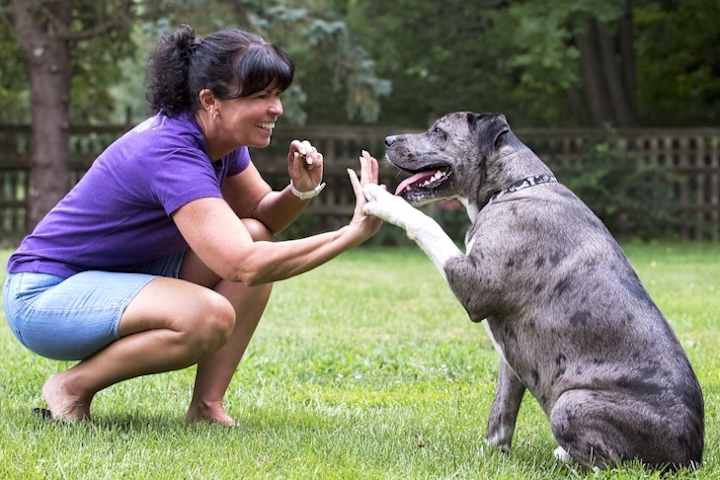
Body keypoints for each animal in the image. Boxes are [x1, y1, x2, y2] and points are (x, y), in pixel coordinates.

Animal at [362, 111, 700, 468]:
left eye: (438, 131)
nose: (388, 140)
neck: (513, 188)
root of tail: (690, 454)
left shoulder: (473, 282)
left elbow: (427, 225)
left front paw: (381, 200)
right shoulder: (510, 362)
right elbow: (501, 414)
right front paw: (491, 457)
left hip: (571, 402)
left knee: (609, 463)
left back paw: (563, 455)